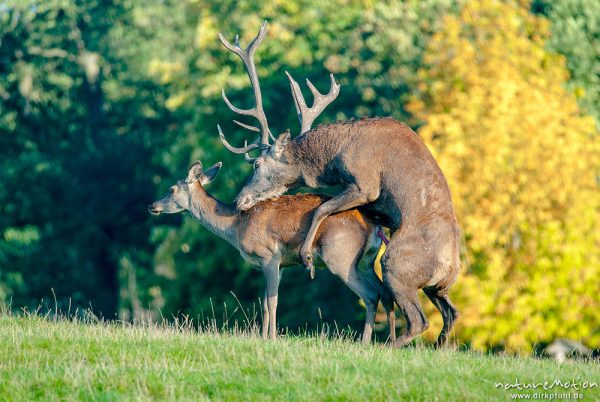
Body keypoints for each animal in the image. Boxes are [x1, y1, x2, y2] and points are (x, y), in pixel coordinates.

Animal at [216, 21, 460, 346]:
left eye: (256, 164)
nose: (239, 200)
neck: (334, 155)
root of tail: (450, 268)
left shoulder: (365, 183)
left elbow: (322, 208)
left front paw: (306, 257)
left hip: (397, 264)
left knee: (419, 319)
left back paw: (388, 346)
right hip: (437, 288)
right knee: (451, 314)